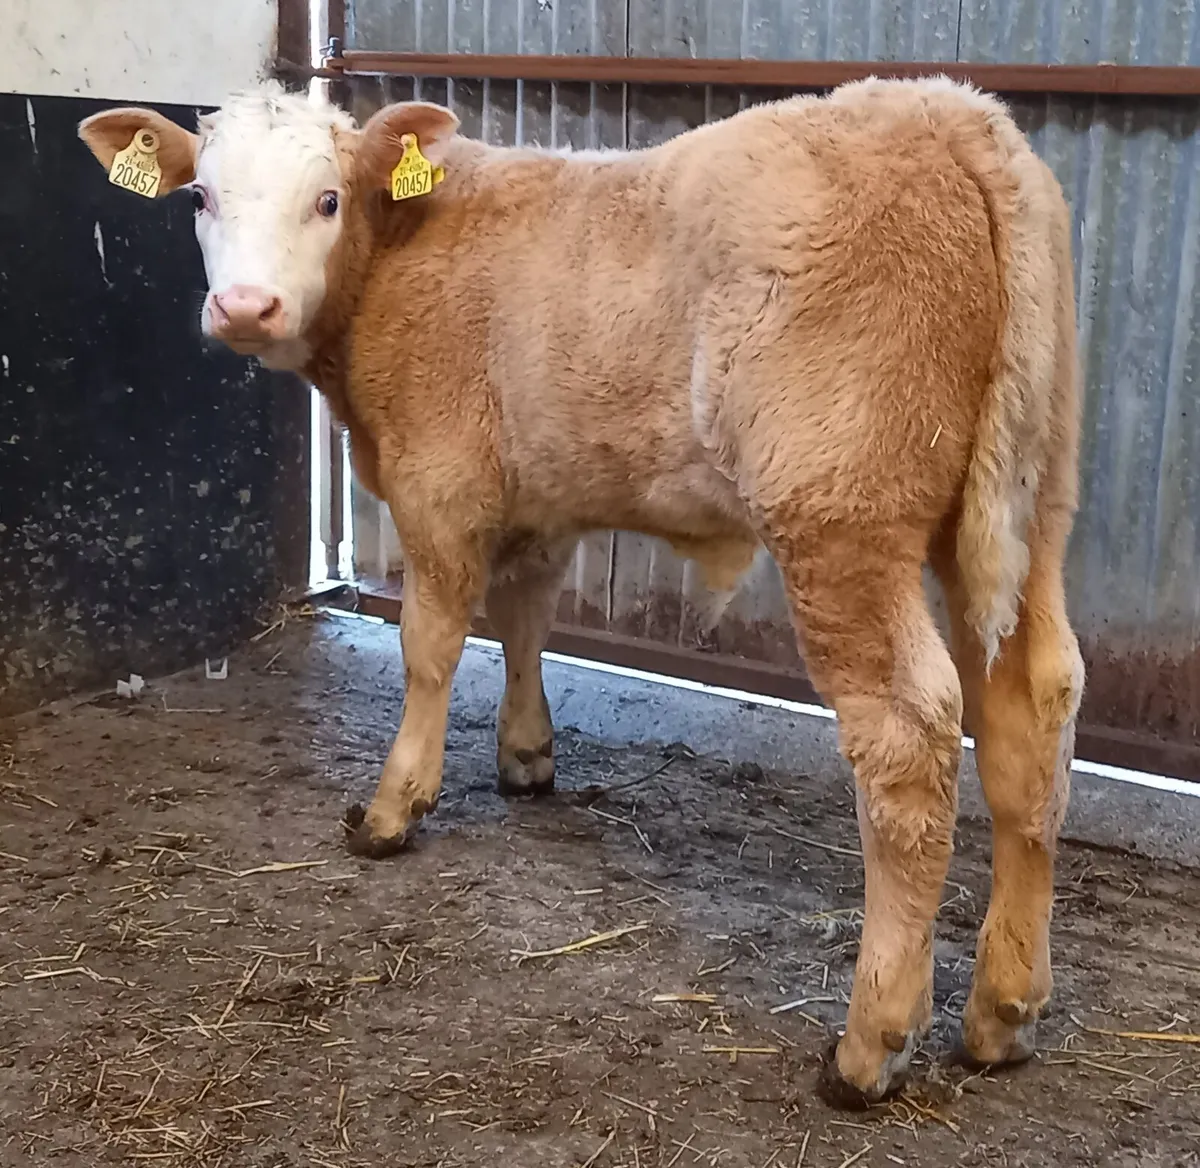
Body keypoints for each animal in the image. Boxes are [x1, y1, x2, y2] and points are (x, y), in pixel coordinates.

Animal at [78, 76, 1085, 1105]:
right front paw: (527, 757)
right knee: (1034, 706)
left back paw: (871, 1042)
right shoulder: (538, 495)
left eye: (325, 200)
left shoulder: (439, 482)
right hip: (1031, 503)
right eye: (200, 198)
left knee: (908, 736)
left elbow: (432, 645)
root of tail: (947, 112)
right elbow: (526, 619)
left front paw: (395, 808)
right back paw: (1004, 1010)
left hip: (841, 516)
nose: (245, 306)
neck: (397, 250)